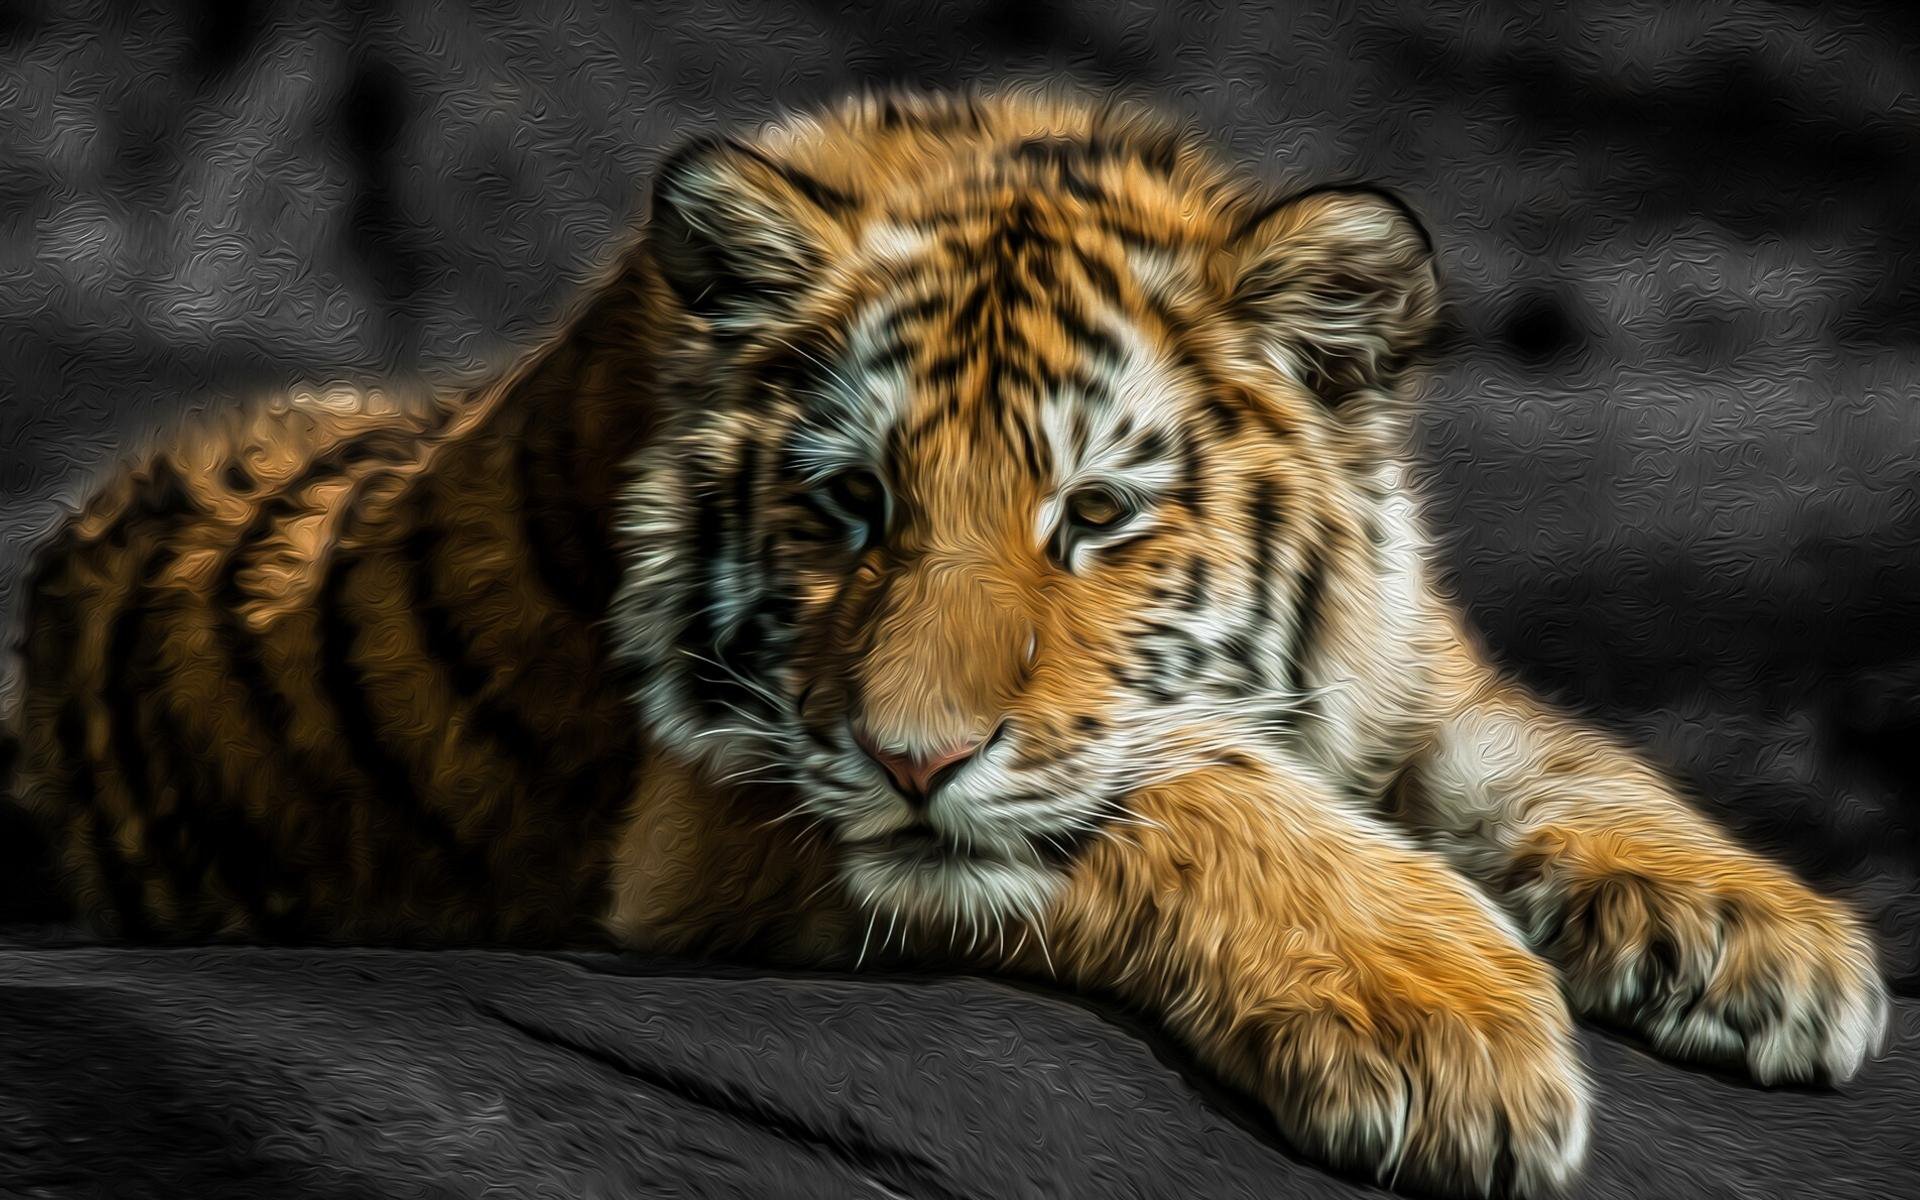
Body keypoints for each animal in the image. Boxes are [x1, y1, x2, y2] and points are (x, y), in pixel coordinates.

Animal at [5, 88, 1889, 1198]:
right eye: (850, 505)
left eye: (1097, 517)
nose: (915, 758)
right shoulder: (724, 810)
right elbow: (1184, 795)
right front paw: (1443, 1027)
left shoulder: (1405, 674)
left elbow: (1552, 755)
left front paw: (1773, 946)